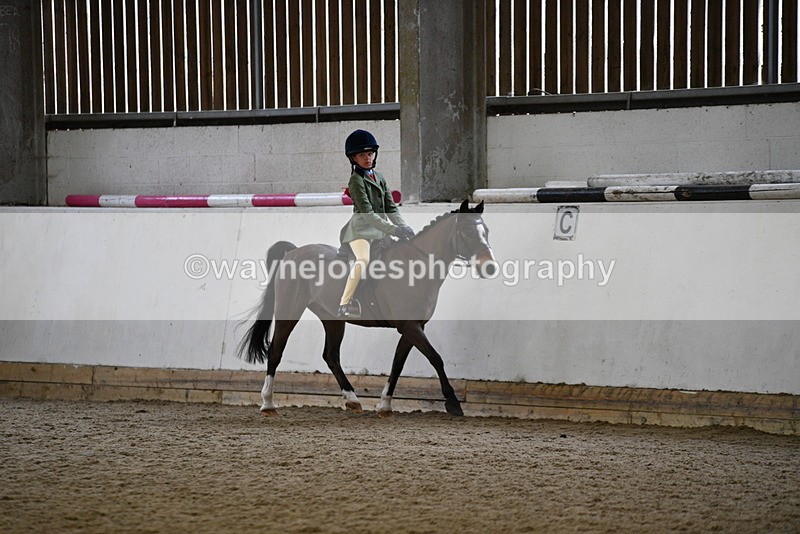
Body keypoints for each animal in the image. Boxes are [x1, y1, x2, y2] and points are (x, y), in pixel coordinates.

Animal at [237, 199, 498, 416]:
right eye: (466, 232)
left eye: (486, 231)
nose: (489, 267)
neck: (415, 267)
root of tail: (293, 252)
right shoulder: (410, 326)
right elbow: (436, 358)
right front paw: (452, 403)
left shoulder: (412, 327)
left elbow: (397, 364)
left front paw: (385, 405)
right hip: (289, 311)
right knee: (276, 351)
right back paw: (268, 403)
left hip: (332, 319)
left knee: (331, 356)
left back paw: (352, 400)